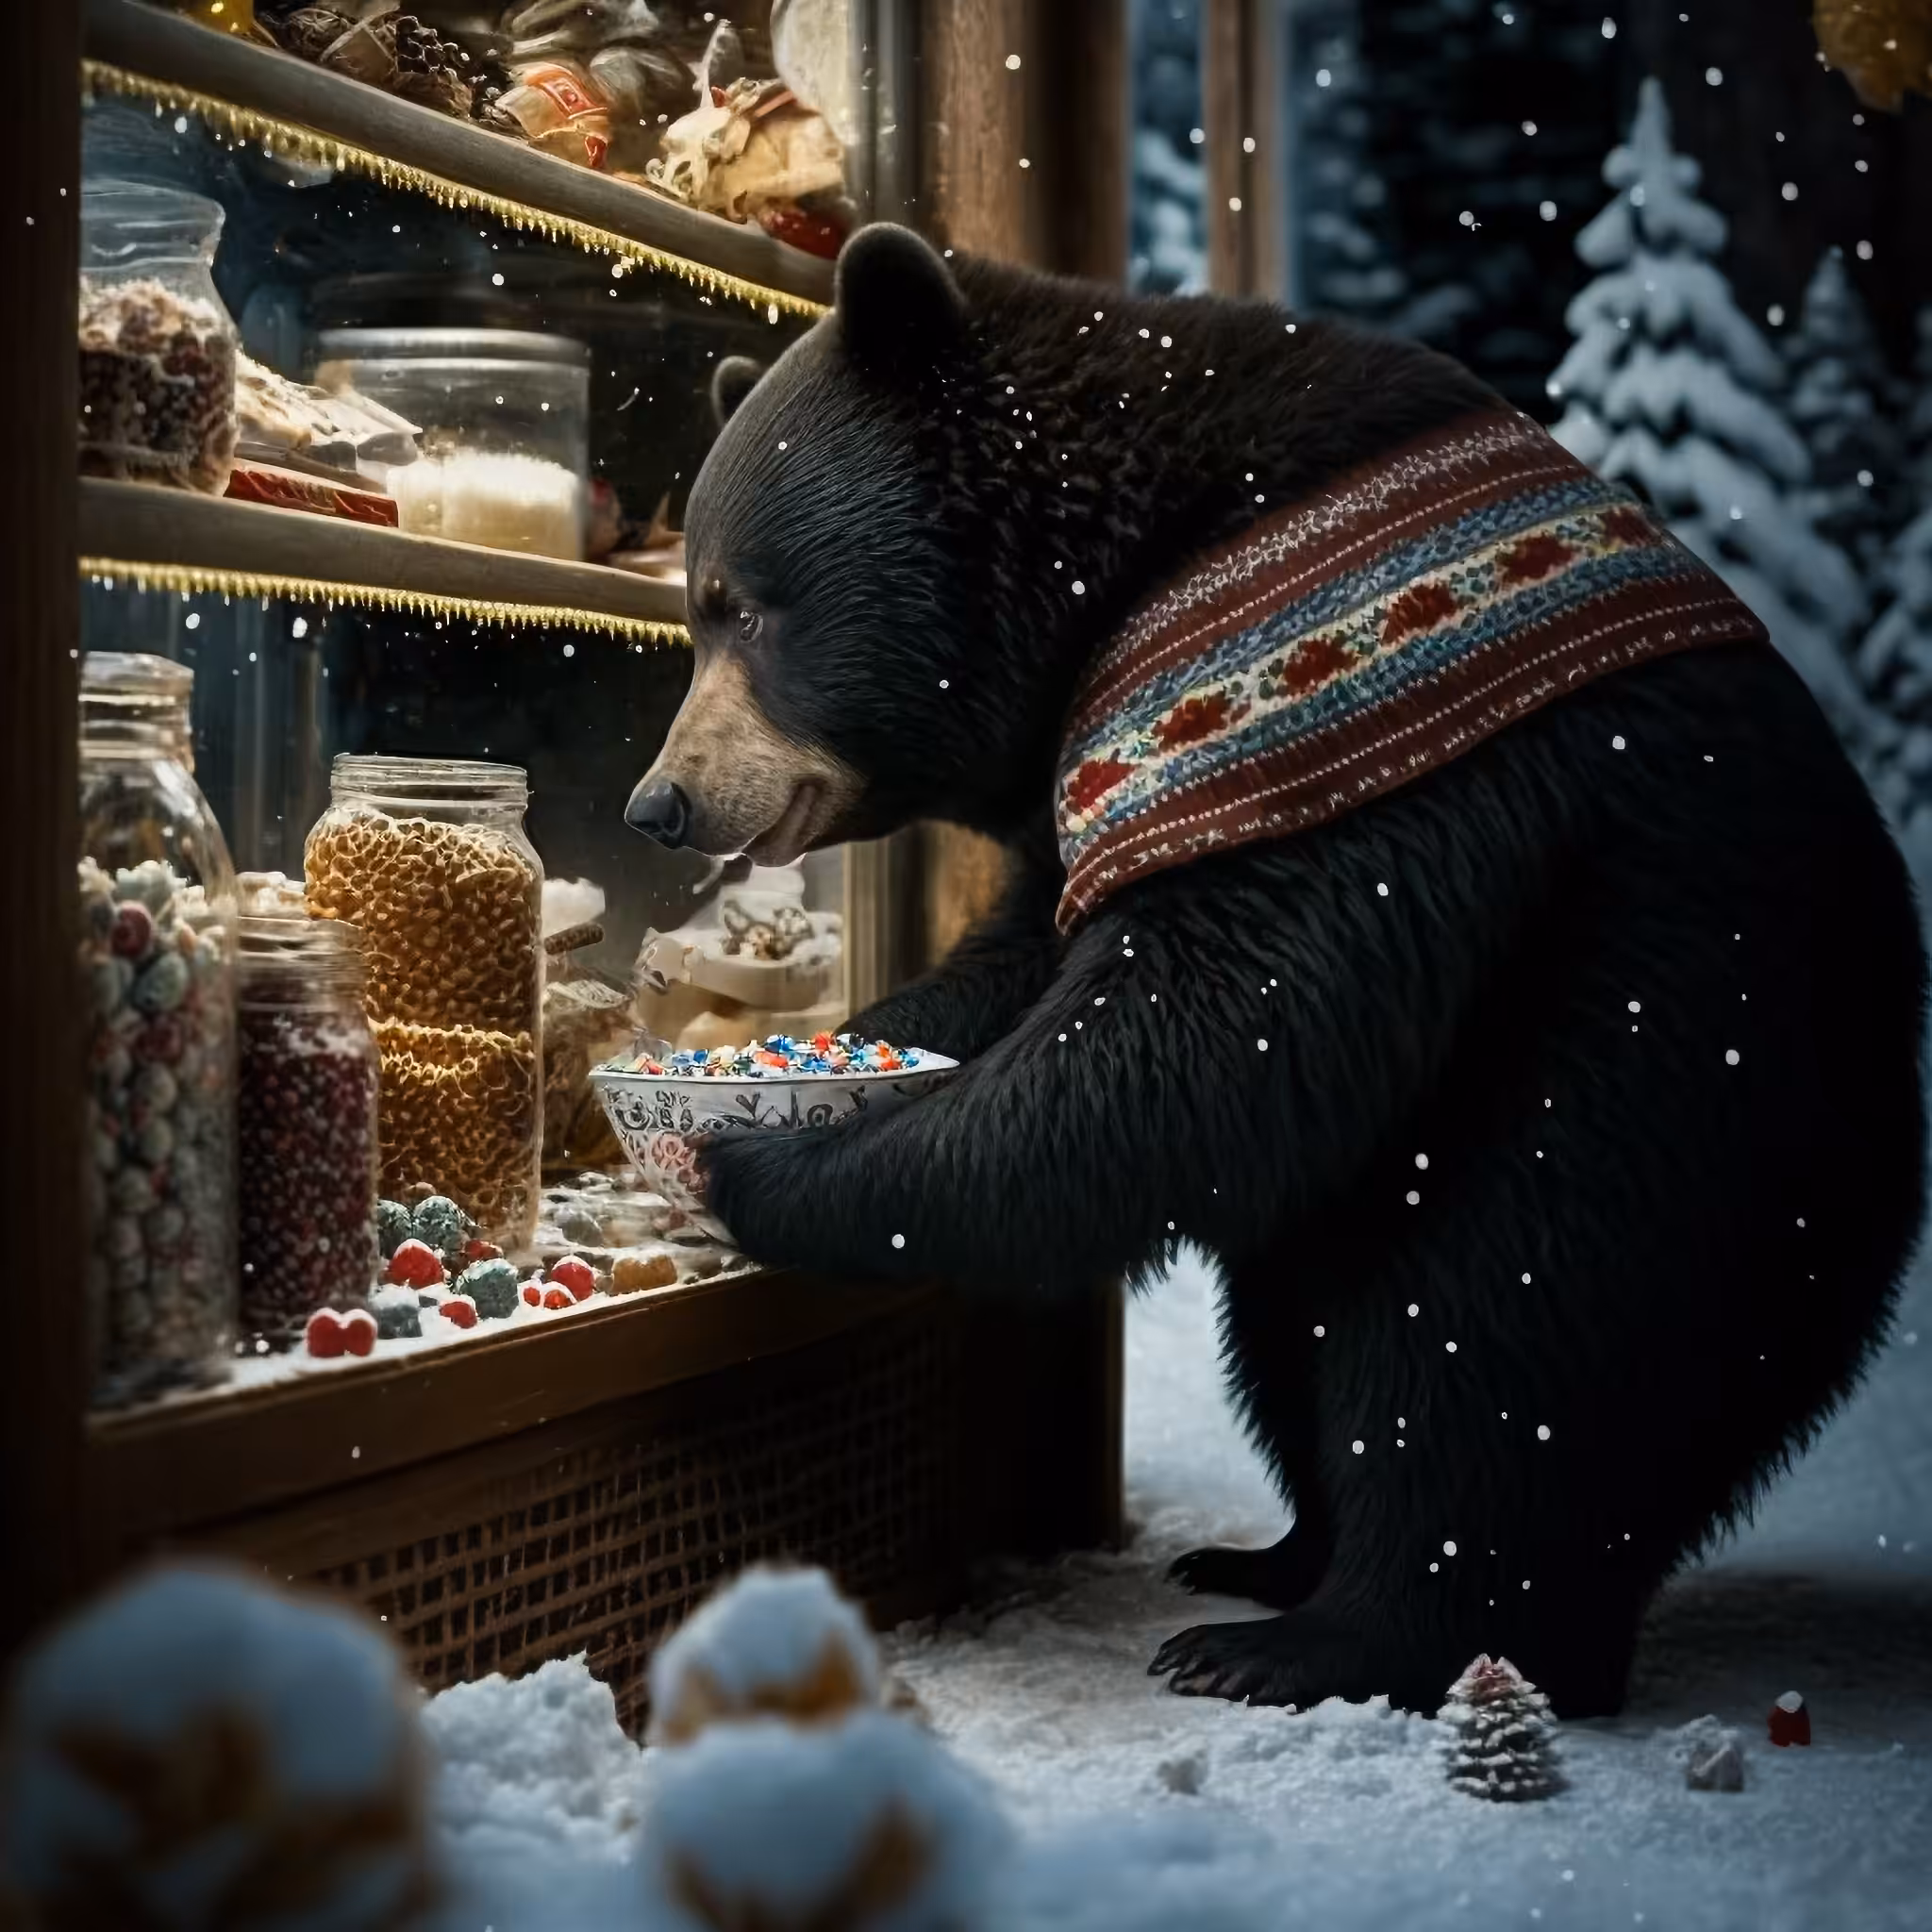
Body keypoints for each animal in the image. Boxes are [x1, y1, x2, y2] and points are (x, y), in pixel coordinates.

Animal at [622, 224, 1927, 1718]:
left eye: (741, 606)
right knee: (1300, 1331)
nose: (659, 803)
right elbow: (1037, 951)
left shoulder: (1343, 705)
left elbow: (1201, 1031)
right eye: (699, 612)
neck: (1121, 575)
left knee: (1491, 1342)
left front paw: (760, 1163)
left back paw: (1318, 1638)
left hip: (1660, 1076)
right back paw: (1272, 1557)